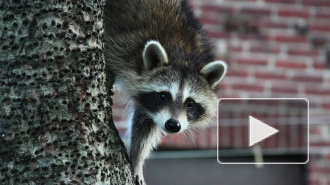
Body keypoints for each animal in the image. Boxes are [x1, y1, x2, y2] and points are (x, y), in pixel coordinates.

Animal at [105, 0, 227, 184]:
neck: (183, 54)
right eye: (163, 96)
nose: (173, 125)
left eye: (190, 103)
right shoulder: (122, 45)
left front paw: (137, 158)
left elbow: (145, 124)